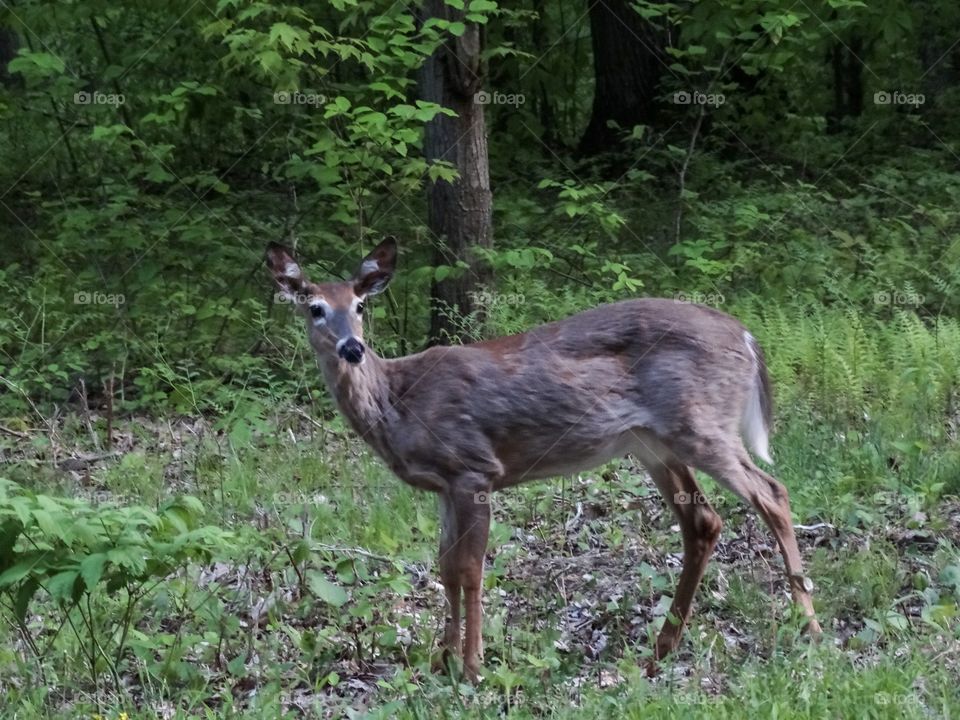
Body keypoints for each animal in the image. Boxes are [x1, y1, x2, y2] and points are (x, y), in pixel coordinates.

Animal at [265, 237, 822, 682]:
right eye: (315, 308)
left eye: (360, 304)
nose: (352, 348)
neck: (398, 402)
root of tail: (747, 338)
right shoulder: (445, 484)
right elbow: (445, 566)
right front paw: (440, 661)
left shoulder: (475, 468)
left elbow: (469, 569)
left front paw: (472, 667)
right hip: (651, 442)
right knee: (703, 520)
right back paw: (660, 651)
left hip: (701, 425)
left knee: (773, 492)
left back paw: (809, 626)